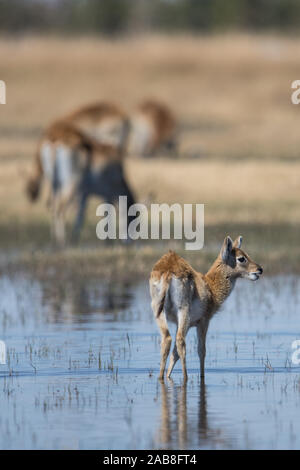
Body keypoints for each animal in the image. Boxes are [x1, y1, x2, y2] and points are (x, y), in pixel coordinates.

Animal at [150, 235, 262, 382]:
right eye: (241, 258)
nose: (259, 269)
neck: (210, 288)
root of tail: (169, 269)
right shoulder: (203, 321)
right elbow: (201, 350)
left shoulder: (183, 324)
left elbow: (174, 353)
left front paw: (168, 375)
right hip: (183, 311)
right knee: (180, 341)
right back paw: (186, 377)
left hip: (159, 312)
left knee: (167, 340)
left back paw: (161, 378)